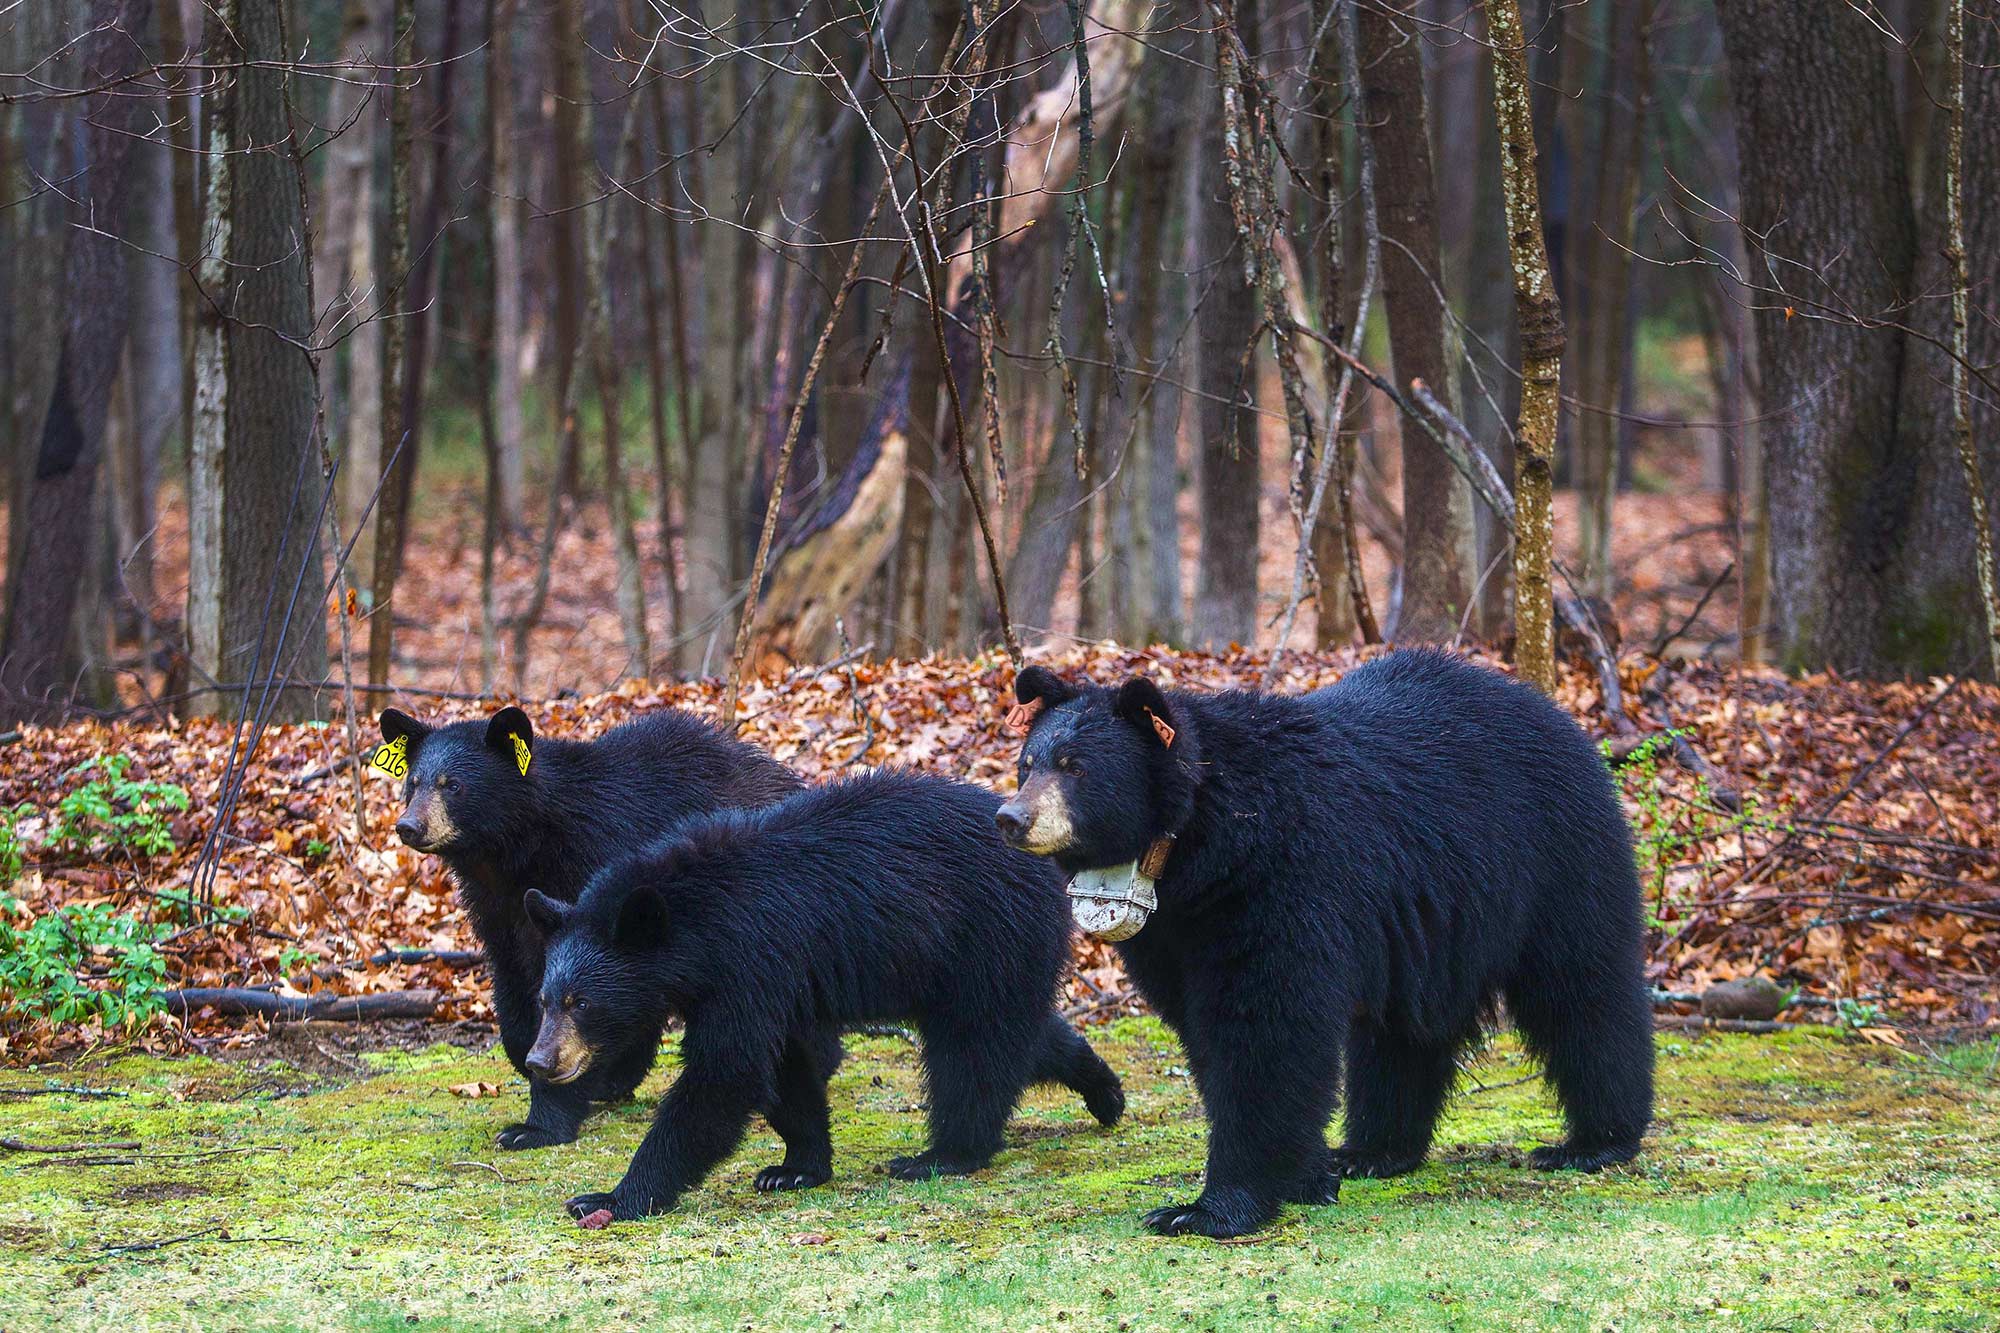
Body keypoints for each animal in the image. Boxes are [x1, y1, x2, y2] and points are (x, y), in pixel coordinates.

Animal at [378, 700, 800, 1144]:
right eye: (413, 782)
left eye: (453, 785)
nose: (408, 826)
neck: (517, 849)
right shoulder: (495, 906)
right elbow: (514, 982)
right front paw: (531, 1058)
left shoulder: (591, 869)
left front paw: (537, 1124)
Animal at [524, 764, 1128, 1216]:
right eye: (546, 1000)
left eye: (582, 1002)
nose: (539, 1061)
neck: (695, 926)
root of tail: (1050, 870)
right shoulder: (766, 983)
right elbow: (782, 1069)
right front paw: (794, 1168)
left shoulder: (749, 962)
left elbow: (726, 1073)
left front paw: (612, 1197)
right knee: (1020, 1033)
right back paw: (1105, 1092)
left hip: (985, 935)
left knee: (974, 1046)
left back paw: (944, 1155)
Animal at [1000, 648, 1656, 1240]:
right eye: (1027, 764)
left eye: (1075, 766)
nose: (1012, 817)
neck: (1200, 844)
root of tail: (1561, 718)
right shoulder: (1175, 929)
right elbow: (1204, 1028)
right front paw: (1310, 1176)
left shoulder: (1283, 876)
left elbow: (1266, 1026)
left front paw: (1207, 1209)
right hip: (1431, 926)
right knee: (1402, 1032)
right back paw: (1374, 1151)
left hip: (1553, 861)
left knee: (1581, 991)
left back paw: (1596, 1141)